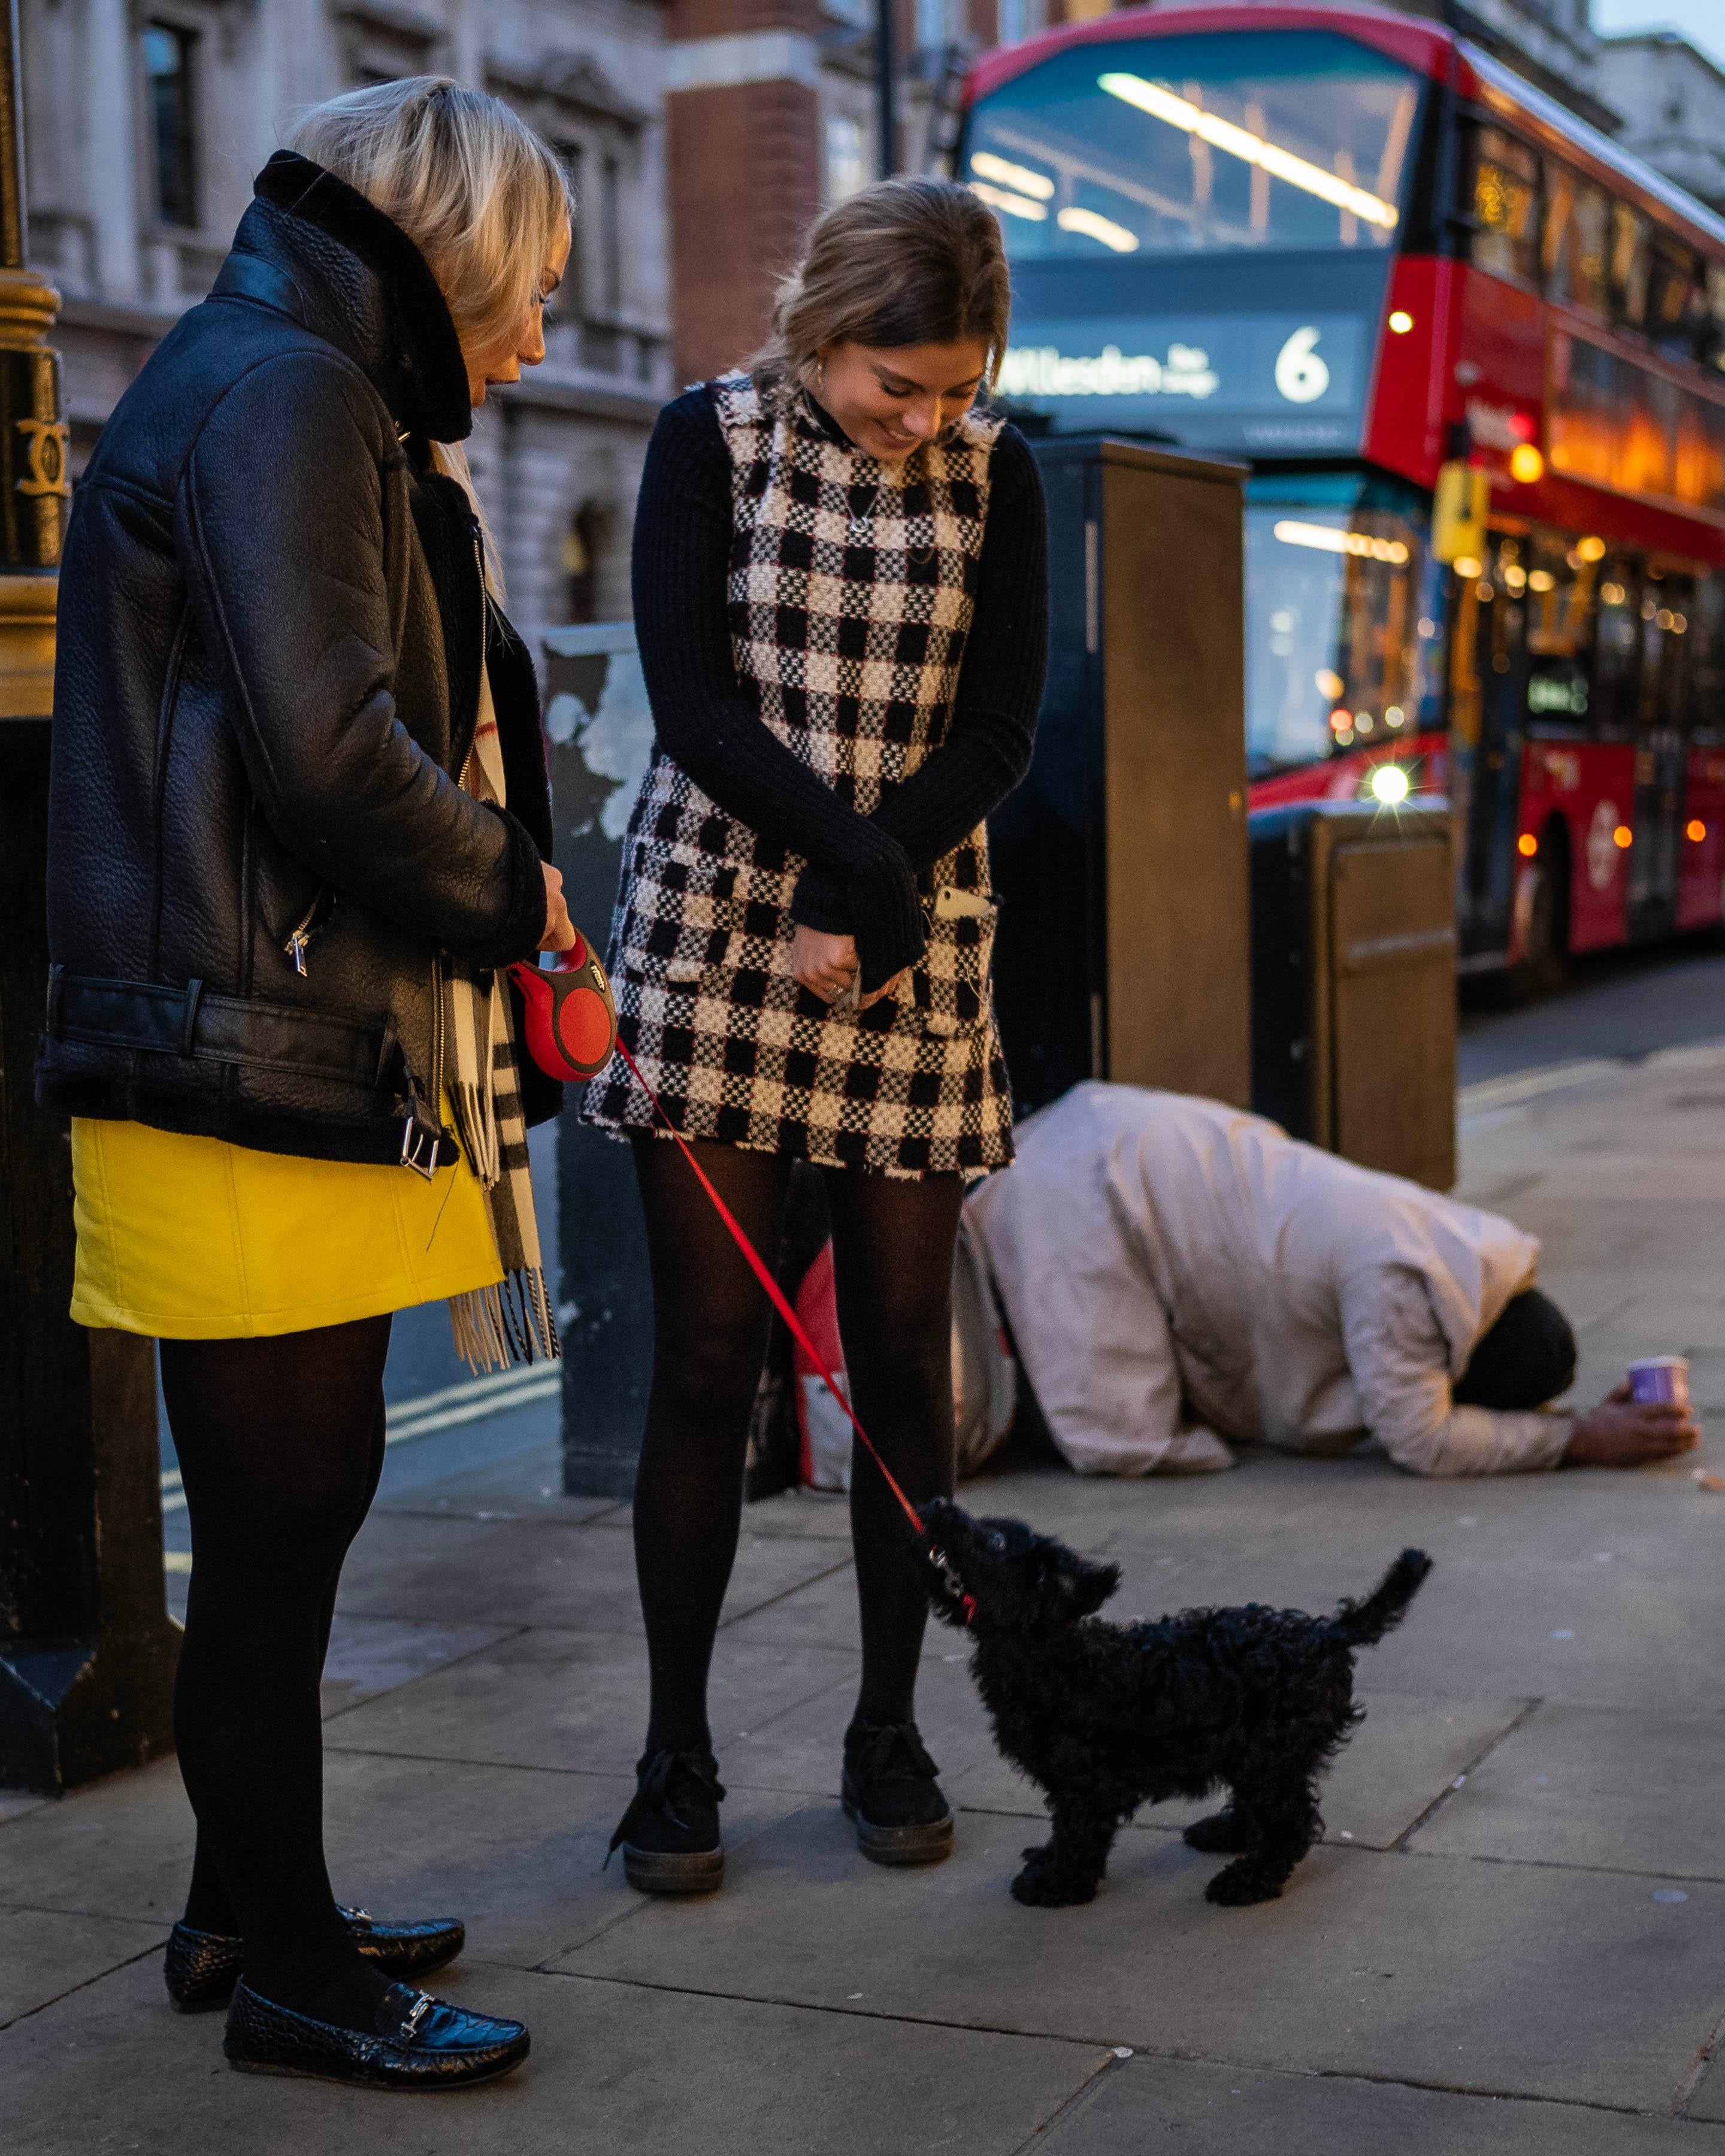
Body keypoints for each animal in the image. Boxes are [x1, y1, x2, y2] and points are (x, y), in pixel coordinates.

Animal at [922, 1500, 1432, 1906]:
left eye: (994, 1540)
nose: (935, 1503)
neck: (1053, 1656)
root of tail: (1326, 1634)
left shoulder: (1085, 1783)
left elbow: (1077, 1833)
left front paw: (1057, 1884)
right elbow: (1063, 1830)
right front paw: (1048, 1861)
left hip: (1270, 1756)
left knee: (1290, 1824)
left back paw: (1246, 1882)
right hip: (1253, 1754)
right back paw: (1226, 1833)